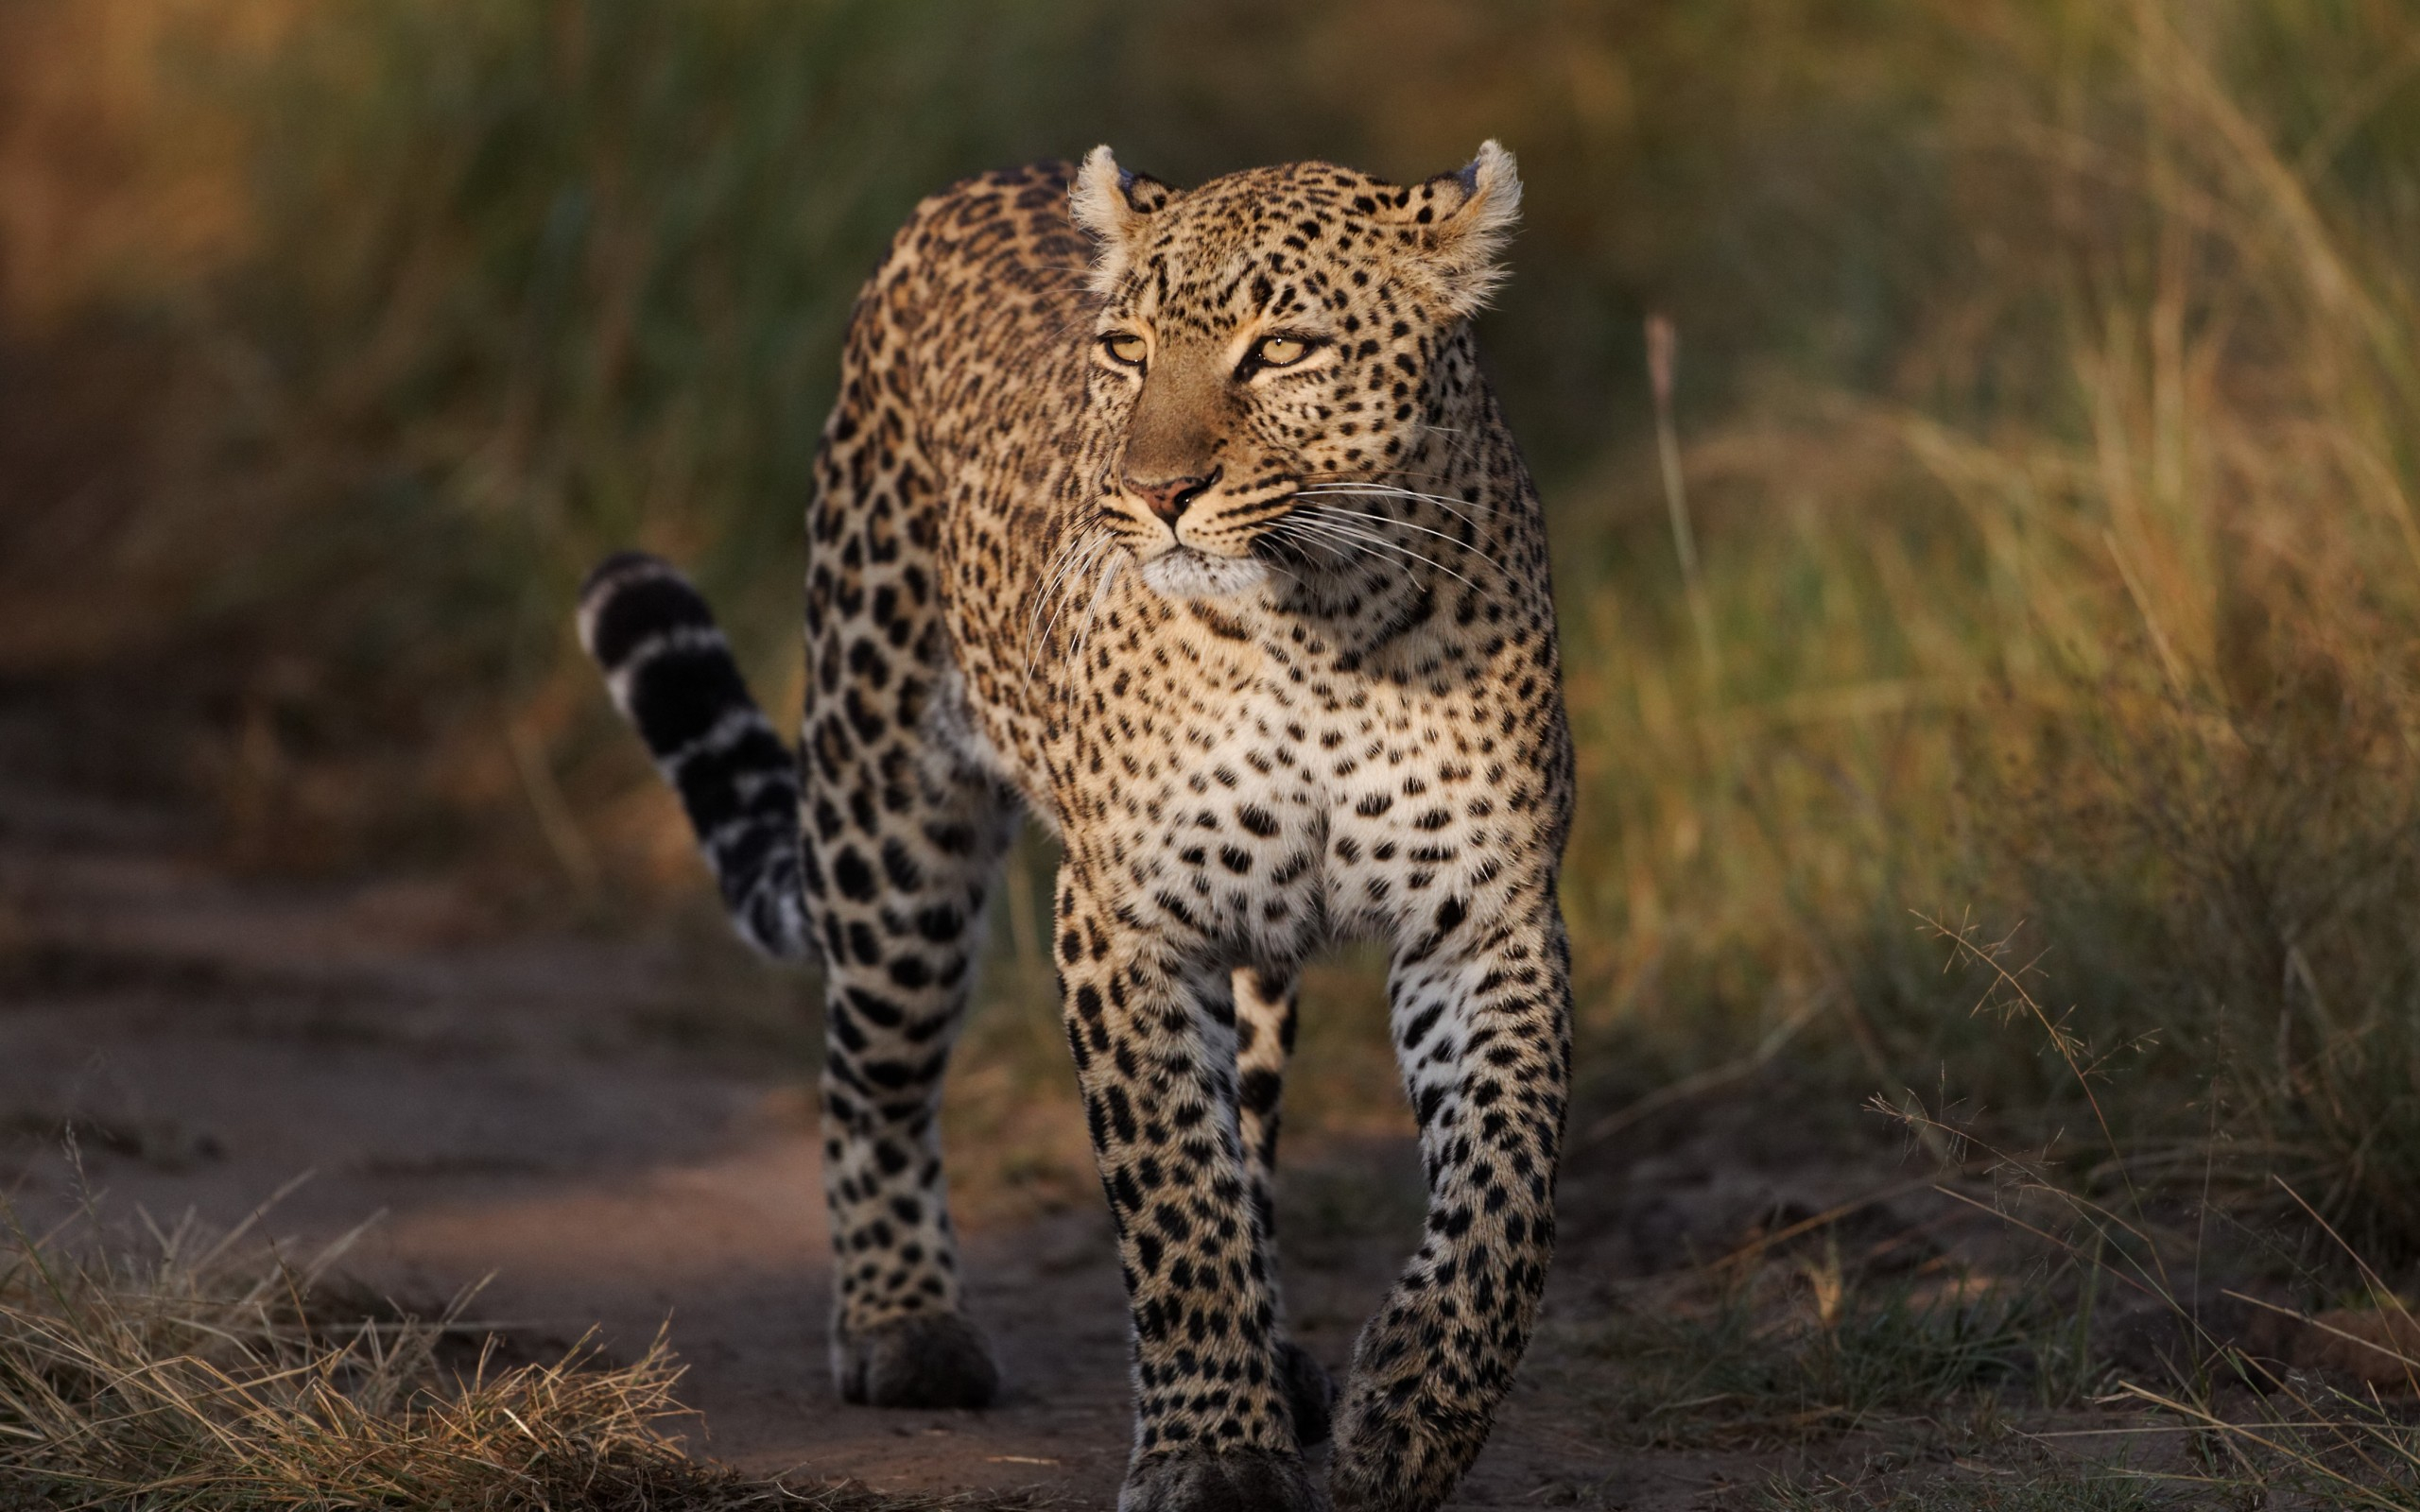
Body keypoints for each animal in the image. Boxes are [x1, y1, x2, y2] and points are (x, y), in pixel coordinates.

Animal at [578, 141, 1578, 1509]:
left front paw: (1413, 1411)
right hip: (889, 831)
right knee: (874, 1078)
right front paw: (1214, 1451)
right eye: (1126, 349)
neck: (1325, 621)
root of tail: (978, 180)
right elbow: (1173, 1195)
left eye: (1282, 349)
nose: (1155, 495)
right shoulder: (1127, 914)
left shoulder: (1487, 916)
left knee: (1249, 1127)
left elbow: (1501, 1191)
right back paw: (904, 1323)